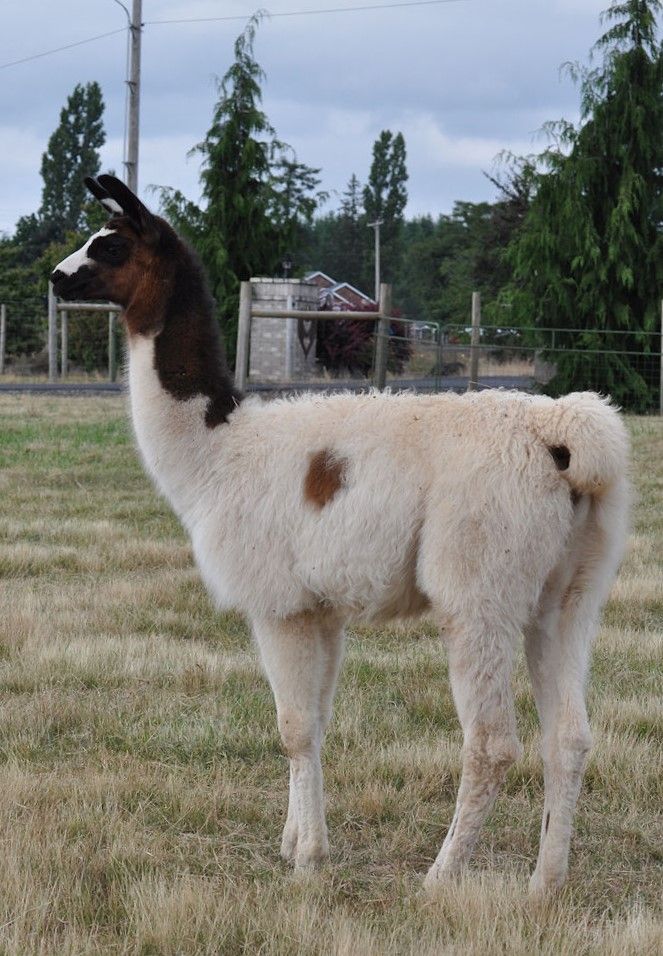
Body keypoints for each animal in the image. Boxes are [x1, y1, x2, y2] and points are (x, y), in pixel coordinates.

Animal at [52, 175, 631, 895]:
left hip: (479, 584)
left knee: (494, 743)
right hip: (570, 591)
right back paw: (543, 887)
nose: (56, 277)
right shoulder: (320, 608)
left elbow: (294, 728)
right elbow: (319, 723)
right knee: (570, 736)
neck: (217, 452)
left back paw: (439, 878)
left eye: (109, 245)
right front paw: (299, 840)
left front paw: (305, 859)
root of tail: (563, 435)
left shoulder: (278, 604)